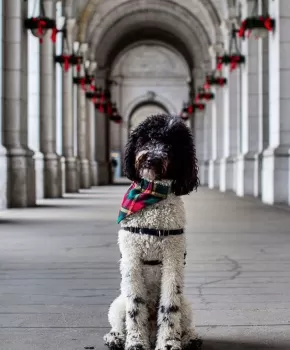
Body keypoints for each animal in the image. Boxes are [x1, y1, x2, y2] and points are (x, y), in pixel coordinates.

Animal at [104, 113, 202, 348]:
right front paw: (136, 343)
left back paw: (190, 338)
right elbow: (135, 307)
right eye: (147, 138)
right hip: (117, 303)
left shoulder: (173, 259)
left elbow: (170, 307)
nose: (152, 159)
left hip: (186, 305)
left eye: (172, 145)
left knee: (184, 321)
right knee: (118, 319)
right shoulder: (131, 259)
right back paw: (116, 337)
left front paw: (169, 343)